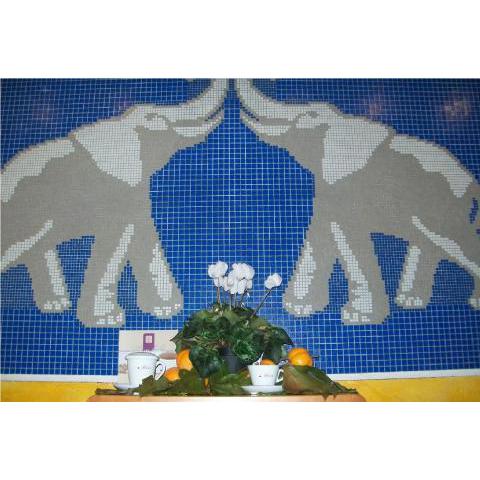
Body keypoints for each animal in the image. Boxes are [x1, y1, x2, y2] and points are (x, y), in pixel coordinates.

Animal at [1, 79, 228, 327]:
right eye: (153, 118)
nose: (191, 81)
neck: (119, 124)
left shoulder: (134, 191)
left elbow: (143, 235)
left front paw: (167, 309)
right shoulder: (114, 193)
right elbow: (118, 240)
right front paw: (108, 319)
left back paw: (56, 305)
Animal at [236, 79, 480, 324]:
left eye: (310, 115)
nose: (237, 111)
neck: (343, 121)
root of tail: (472, 183)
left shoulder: (348, 191)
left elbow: (346, 237)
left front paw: (357, 316)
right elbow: (320, 234)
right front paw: (299, 307)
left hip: (444, 209)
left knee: (452, 240)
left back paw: (471, 302)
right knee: (427, 243)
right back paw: (410, 301)